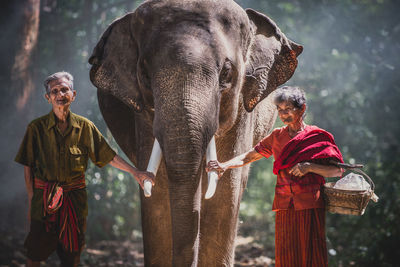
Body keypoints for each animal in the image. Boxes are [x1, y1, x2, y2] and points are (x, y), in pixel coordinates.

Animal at [89, 1, 302, 266]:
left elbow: (225, 192)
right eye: (145, 77)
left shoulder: (242, 112)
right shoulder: (144, 119)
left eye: (226, 73)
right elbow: (158, 192)